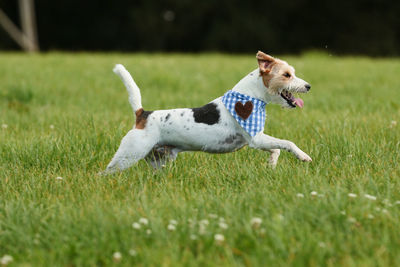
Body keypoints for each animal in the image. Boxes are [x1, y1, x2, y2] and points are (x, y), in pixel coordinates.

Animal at [103, 51, 312, 175]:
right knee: (105, 173)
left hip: (158, 160)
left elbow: (277, 149)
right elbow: (287, 143)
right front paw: (303, 156)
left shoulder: (258, 139)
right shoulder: (256, 139)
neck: (251, 96)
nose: (308, 86)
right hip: (129, 154)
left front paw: (271, 166)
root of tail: (142, 114)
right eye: (287, 75)